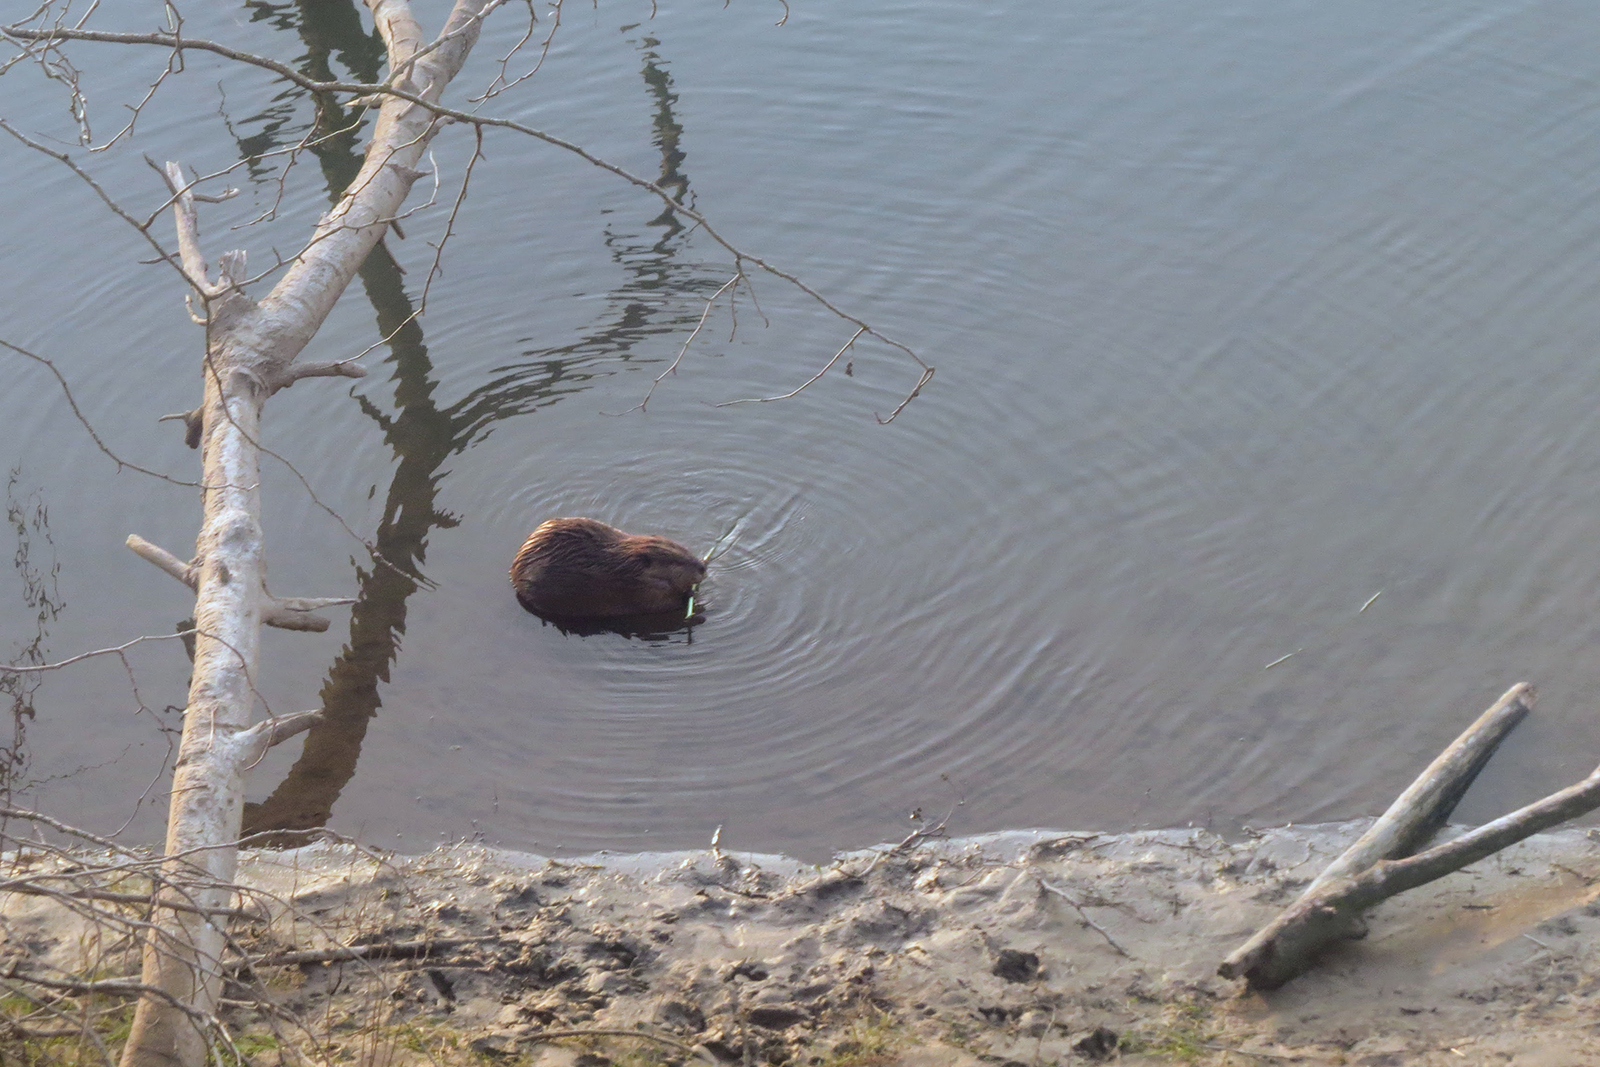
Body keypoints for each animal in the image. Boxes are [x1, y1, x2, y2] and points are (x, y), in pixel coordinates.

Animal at [512, 518, 707, 617]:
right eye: (676, 562)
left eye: (685, 550)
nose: (703, 567)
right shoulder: (636, 590)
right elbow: (660, 604)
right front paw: (690, 594)